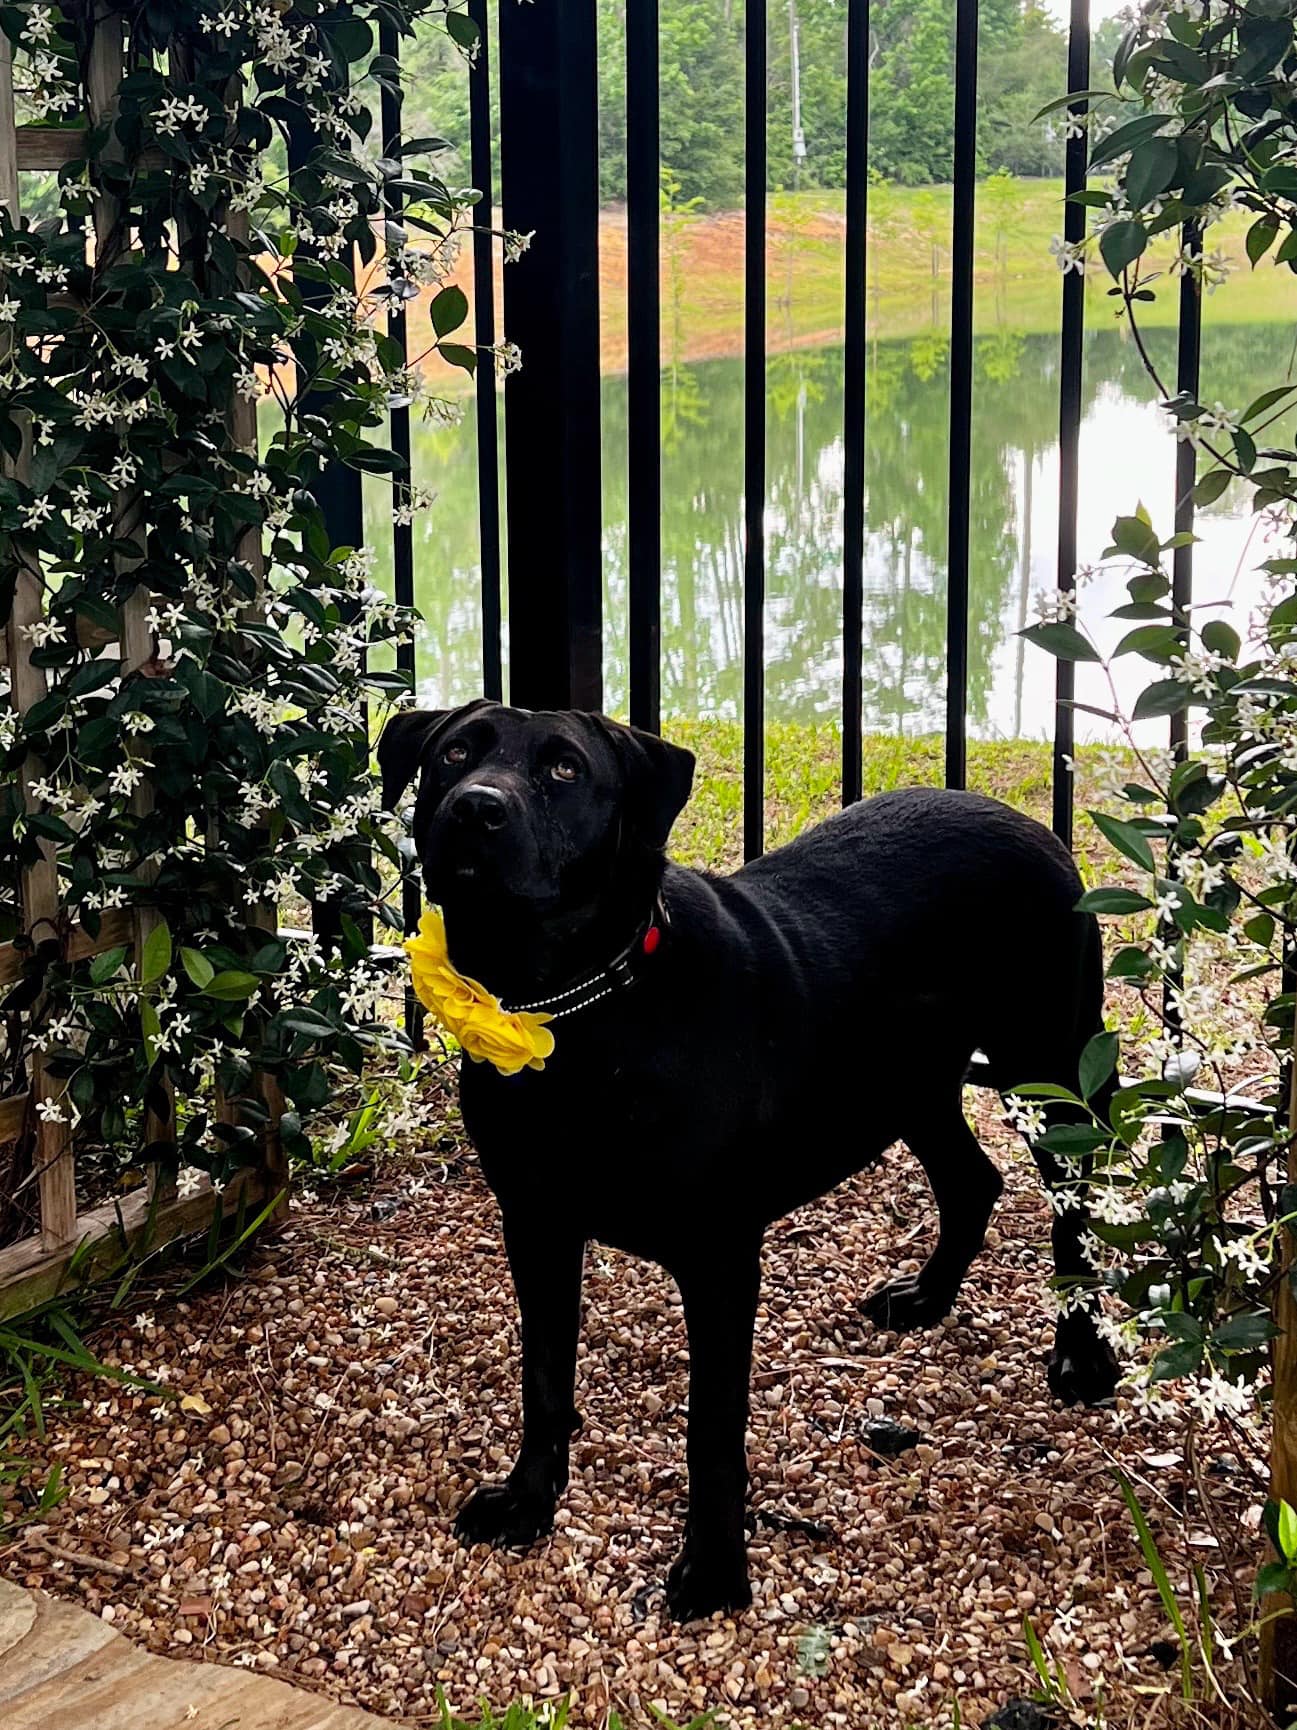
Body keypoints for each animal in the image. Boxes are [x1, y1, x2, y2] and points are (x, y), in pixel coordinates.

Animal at [380, 702, 1120, 1619]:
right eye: (453, 753)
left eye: (563, 769)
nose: (476, 808)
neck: (575, 1009)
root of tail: (1032, 824)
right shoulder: (536, 1225)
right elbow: (544, 1379)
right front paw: (529, 1499)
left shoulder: (718, 1258)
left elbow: (710, 1428)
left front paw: (713, 1569)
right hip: (902, 1082)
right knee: (972, 1180)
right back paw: (927, 1297)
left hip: (1048, 1069)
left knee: (1069, 1216)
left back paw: (1082, 1358)